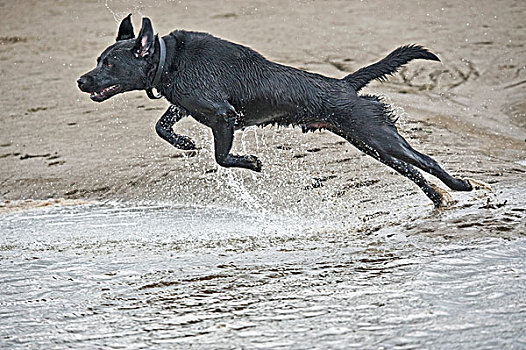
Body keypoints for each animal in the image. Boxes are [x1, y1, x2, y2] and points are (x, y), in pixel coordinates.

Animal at [77, 15, 474, 208]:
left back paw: (460, 185)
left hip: (378, 135)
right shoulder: (188, 107)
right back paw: (438, 198)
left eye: (109, 63)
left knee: (427, 161)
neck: (167, 59)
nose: (81, 80)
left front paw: (252, 163)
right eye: (98, 59)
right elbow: (163, 126)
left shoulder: (224, 116)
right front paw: (186, 144)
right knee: (415, 171)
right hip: (370, 142)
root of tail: (346, 83)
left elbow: (222, 157)